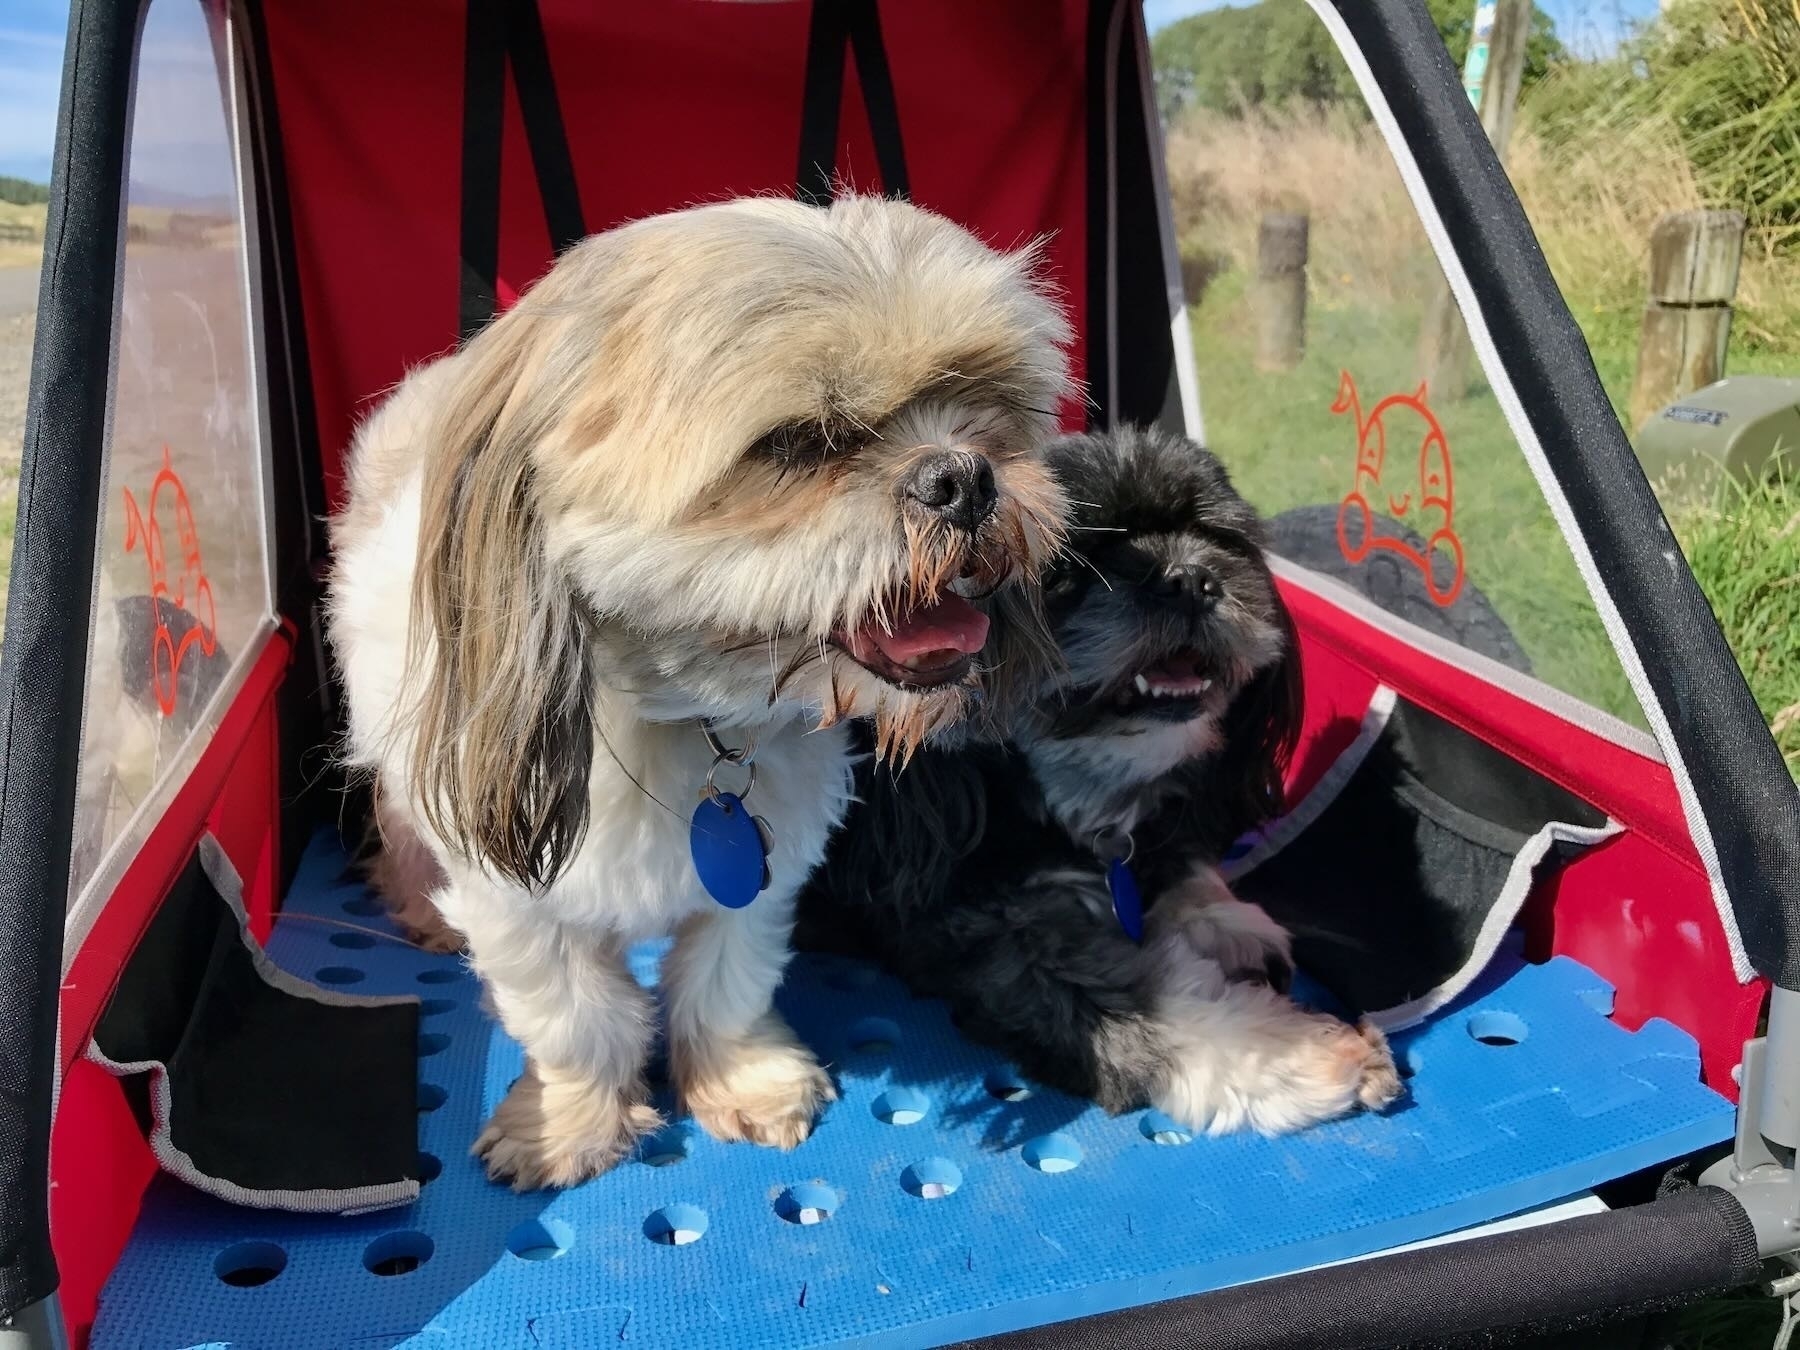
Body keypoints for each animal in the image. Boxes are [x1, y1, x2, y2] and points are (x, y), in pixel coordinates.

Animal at [802, 428, 1404, 1137]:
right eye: (1070, 569)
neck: (1062, 790)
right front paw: (1295, 1054)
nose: (1188, 579)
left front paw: (1224, 918)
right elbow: (1140, 1001)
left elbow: (1181, 867)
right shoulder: (978, 928)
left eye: (1215, 535)